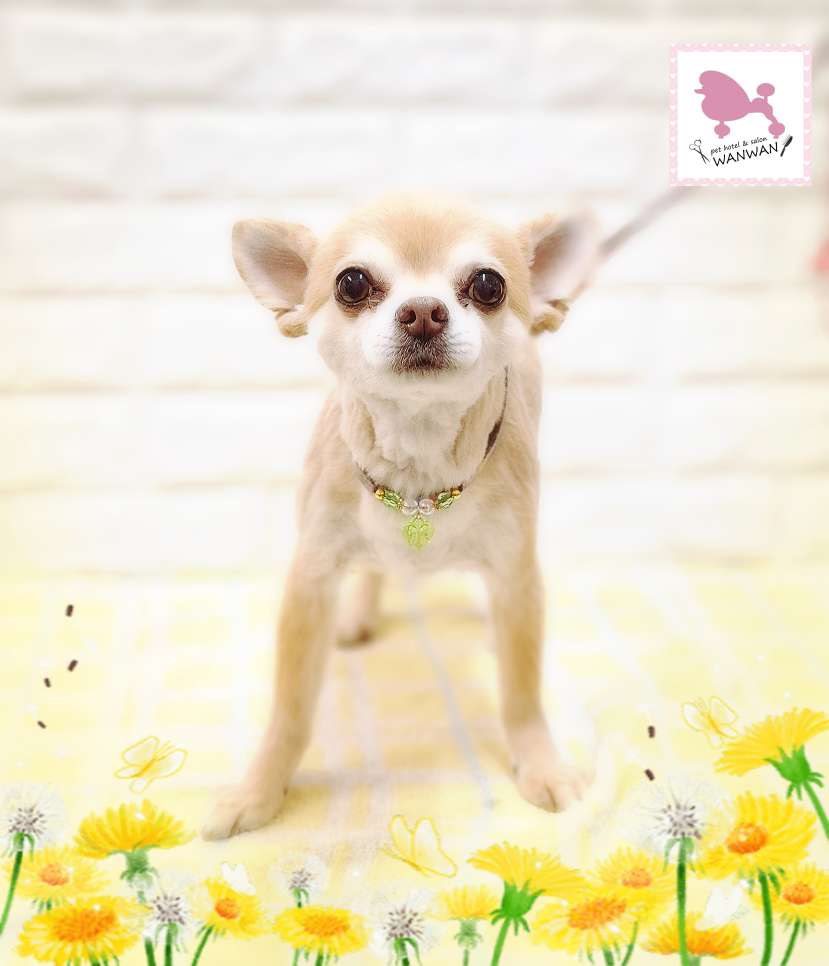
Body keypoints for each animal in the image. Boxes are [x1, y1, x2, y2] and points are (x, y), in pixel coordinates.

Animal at [203, 195, 598, 840]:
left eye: (488, 284)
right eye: (352, 283)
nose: (423, 312)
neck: (418, 470)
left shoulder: (516, 571)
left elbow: (521, 693)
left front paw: (539, 763)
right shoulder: (311, 577)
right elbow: (291, 708)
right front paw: (258, 791)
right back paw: (359, 613)